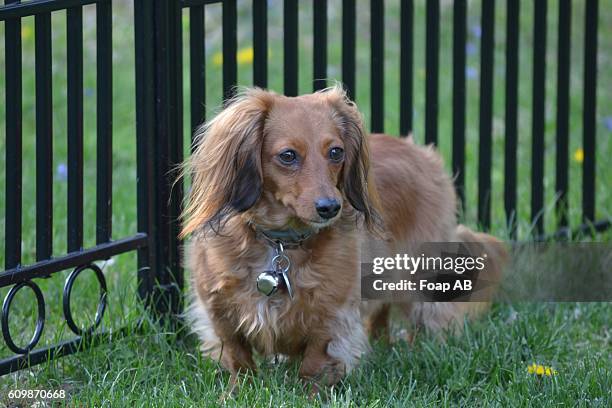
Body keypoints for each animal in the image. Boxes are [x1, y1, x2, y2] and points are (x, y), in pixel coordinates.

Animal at [180, 85, 506, 386]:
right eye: (288, 156)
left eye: (336, 152)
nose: (330, 208)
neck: (280, 245)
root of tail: (421, 152)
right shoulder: (219, 313)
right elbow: (238, 358)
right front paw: (236, 391)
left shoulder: (332, 316)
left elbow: (315, 362)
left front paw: (310, 394)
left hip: (424, 278)